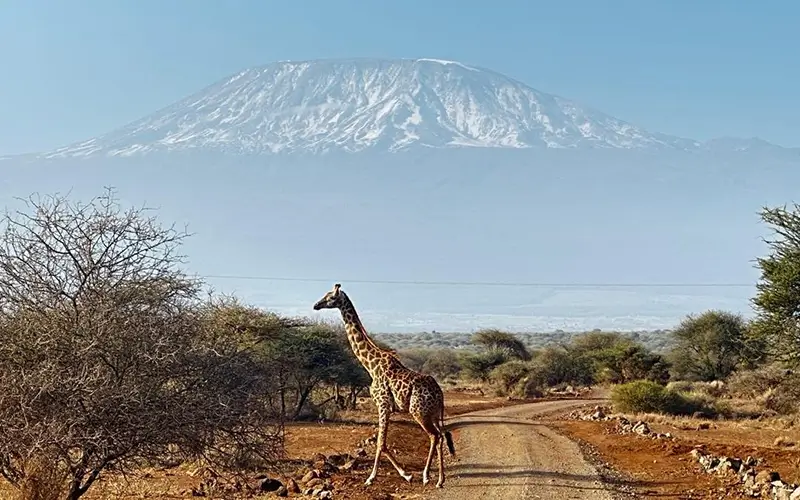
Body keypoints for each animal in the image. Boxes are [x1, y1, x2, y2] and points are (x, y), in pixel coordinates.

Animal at [313, 283, 455, 488]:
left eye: (330, 297)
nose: (316, 305)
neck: (371, 365)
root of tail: (440, 394)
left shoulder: (383, 404)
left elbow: (381, 442)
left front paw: (376, 477)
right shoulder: (386, 407)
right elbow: (382, 442)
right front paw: (401, 474)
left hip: (419, 412)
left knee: (434, 436)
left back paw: (428, 477)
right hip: (433, 414)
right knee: (441, 436)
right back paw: (440, 480)